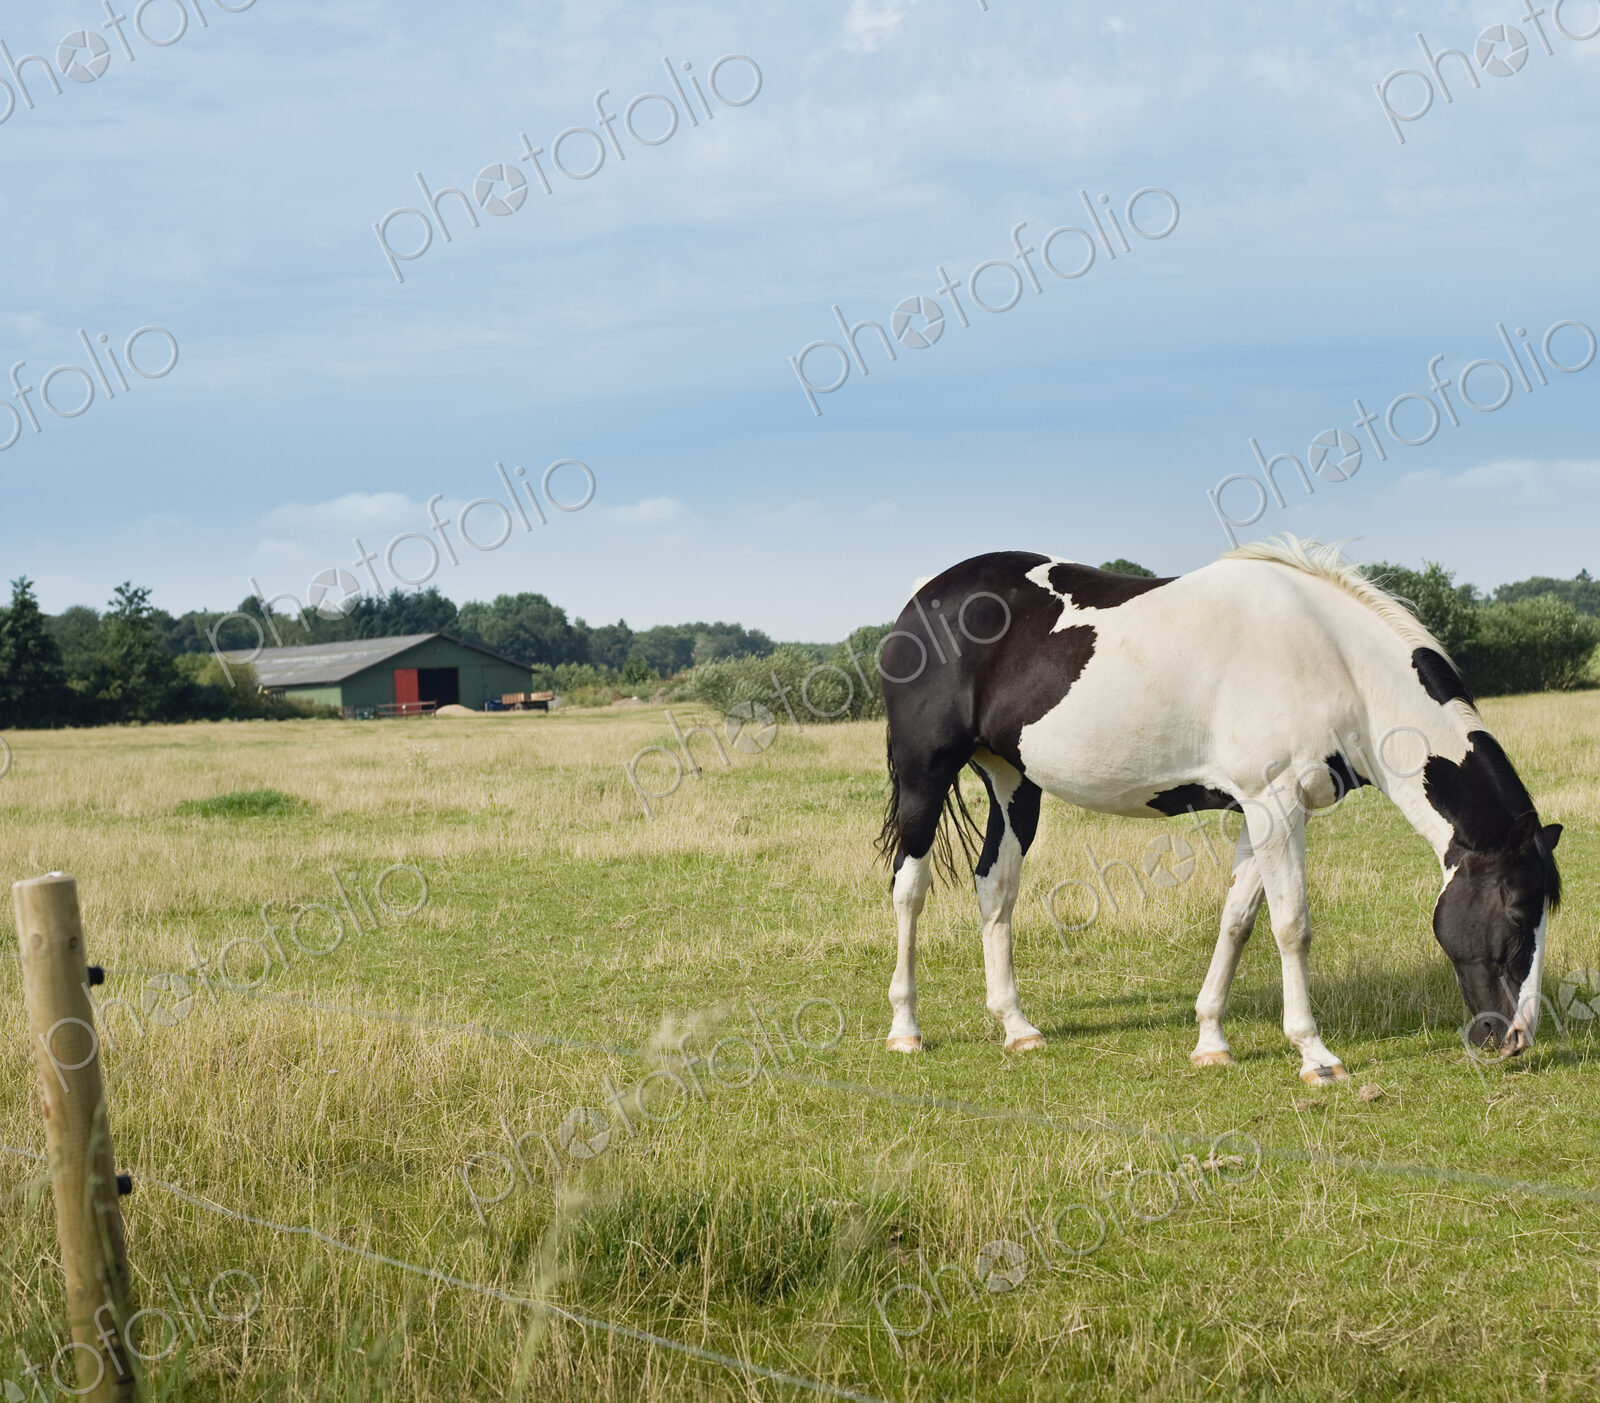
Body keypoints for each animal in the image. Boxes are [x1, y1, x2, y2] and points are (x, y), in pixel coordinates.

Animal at [875, 537, 1562, 1084]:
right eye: (1516, 910)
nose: (1515, 1037)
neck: (1332, 661)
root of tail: (924, 596)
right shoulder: (1274, 804)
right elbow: (1292, 926)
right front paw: (1315, 1056)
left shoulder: (1268, 812)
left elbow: (1239, 920)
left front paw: (1211, 1041)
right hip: (924, 776)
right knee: (910, 889)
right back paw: (905, 1029)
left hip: (1013, 781)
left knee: (996, 887)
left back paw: (1017, 1027)